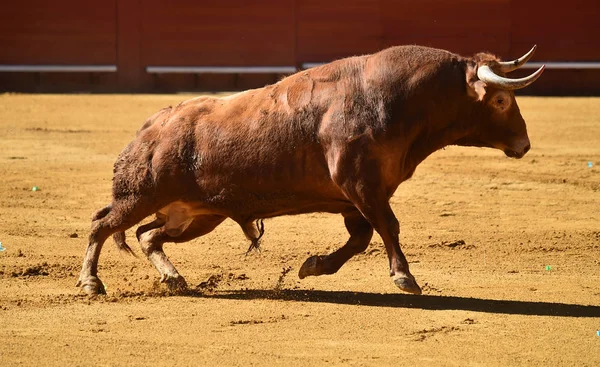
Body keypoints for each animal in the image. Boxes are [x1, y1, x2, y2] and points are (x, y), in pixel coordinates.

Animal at [75, 43, 544, 296]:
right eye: (501, 100)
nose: (524, 144)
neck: (396, 99)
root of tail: (152, 127)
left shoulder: (356, 197)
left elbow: (361, 238)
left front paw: (313, 266)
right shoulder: (361, 184)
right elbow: (388, 227)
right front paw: (404, 277)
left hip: (196, 214)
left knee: (147, 235)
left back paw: (174, 279)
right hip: (140, 195)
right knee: (103, 224)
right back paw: (91, 283)